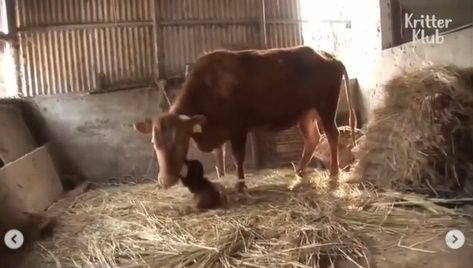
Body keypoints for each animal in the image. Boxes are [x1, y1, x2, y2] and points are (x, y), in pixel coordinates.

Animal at [133, 46, 354, 193]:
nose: (166, 180)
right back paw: (298, 172)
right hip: (306, 113)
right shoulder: (217, 129)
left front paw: (241, 185)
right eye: (154, 142)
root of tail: (328, 56)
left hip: (326, 106)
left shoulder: (238, 128)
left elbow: (237, 156)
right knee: (313, 138)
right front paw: (222, 179)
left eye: (181, 141)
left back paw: (333, 175)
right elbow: (219, 156)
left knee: (331, 135)